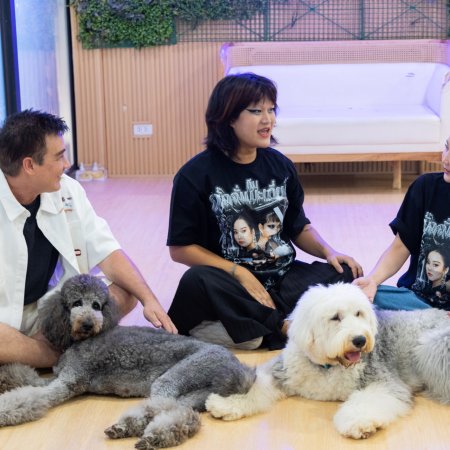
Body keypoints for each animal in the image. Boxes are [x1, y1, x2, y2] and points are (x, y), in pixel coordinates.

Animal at [0, 274, 255, 449]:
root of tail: (238, 368)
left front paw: (4, 410)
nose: (88, 324)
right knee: (182, 413)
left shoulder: (69, 382)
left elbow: (30, 397)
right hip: (194, 394)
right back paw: (138, 431)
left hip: (176, 377)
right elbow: (26, 377)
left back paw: (143, 433)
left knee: (161, 409)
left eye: (96, 305)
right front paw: (5, 377)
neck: (80, 340)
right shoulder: (57, 377)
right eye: (76, 303)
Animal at [206, 283, 450, 439]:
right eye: (335, 317)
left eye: (359, 313)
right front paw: (225, 404)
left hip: (432, 346)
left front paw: (358, 422)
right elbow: (255, 385)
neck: (328, 366)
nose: (360, 340)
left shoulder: (383, 381)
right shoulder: (282, 371)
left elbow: (367, 400)